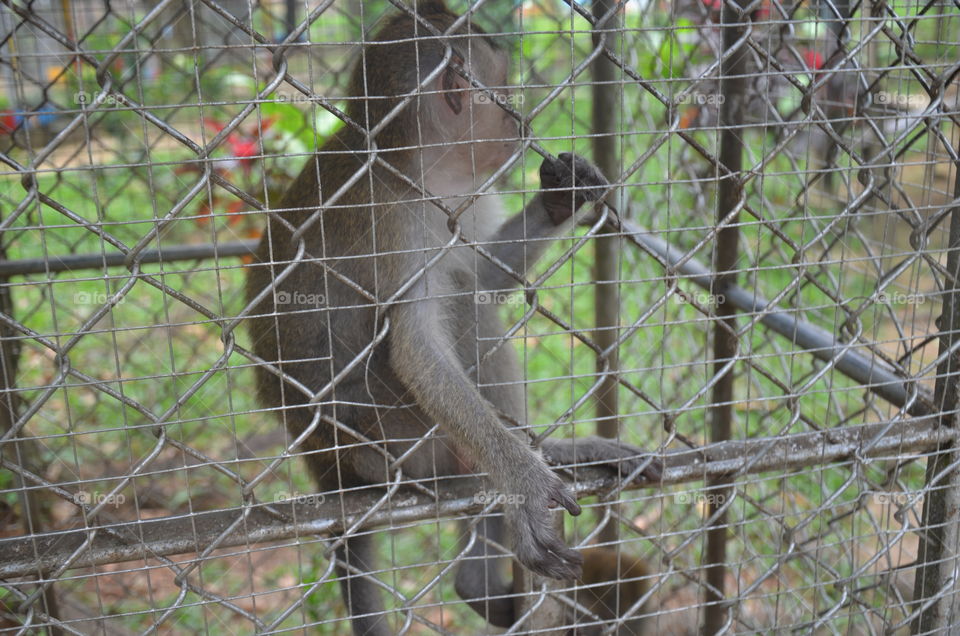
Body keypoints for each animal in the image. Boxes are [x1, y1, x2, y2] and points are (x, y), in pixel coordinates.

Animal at [245, 2, 661, 633]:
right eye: (505, 89)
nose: (521, 123)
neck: (414, 166)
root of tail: (326, 469)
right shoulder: (395, 222)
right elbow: (417, 346)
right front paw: (523, 483)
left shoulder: (460, 201)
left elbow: (483, 279)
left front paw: (559, 199)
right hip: (394, 446)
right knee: (460, 323)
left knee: (468, 300)